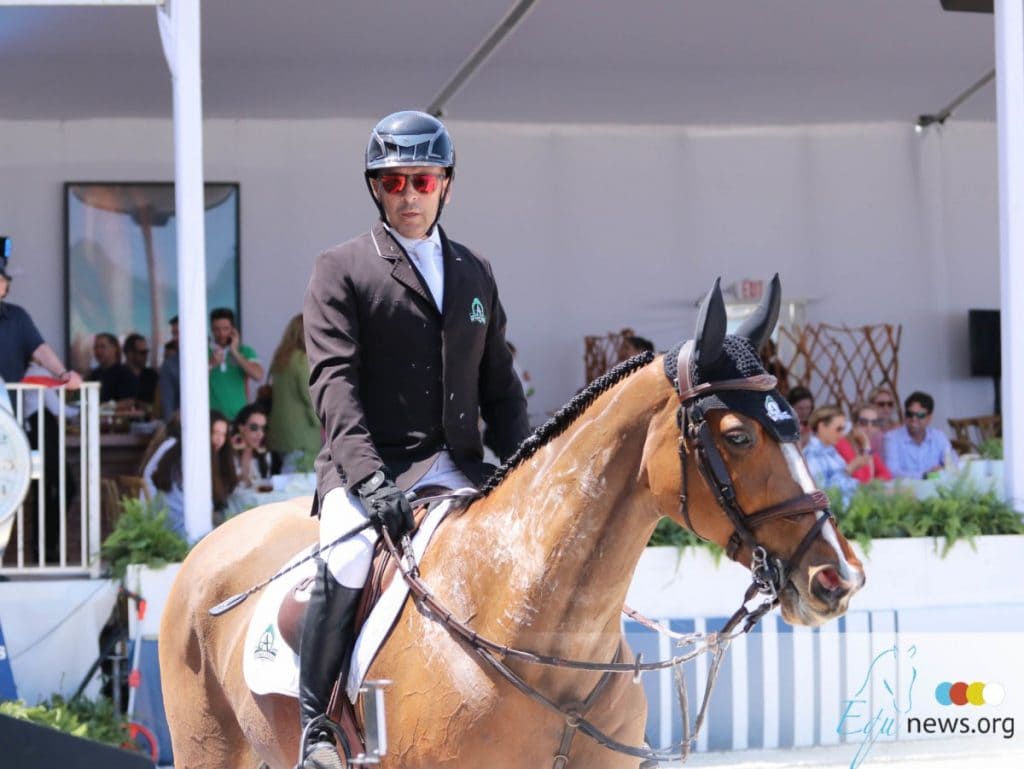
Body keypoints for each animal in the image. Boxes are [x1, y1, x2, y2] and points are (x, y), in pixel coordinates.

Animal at [159, 278, 864, 769]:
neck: (542, 643)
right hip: (208, 748)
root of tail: (212, 542)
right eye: (740, 436)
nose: (838, 578)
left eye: (796, 426)